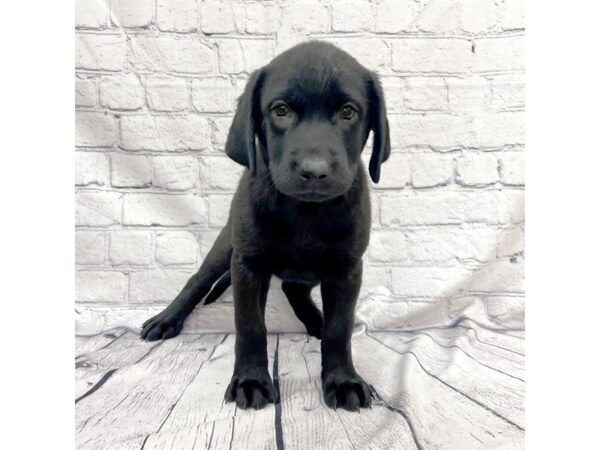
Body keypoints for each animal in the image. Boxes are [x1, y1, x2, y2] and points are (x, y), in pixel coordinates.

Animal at [142, 42, 394, 412]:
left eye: (349, 112)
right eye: (281, 110)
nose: (314, 171)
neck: (305, 212)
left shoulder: (347, 269)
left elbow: (339, 329)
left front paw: (343, 380)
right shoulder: (247, 265)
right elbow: (250, 326)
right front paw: (250, 380)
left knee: (294, 289)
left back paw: (315, 321)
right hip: (227, 245)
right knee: (199, 280)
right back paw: (166, 319)